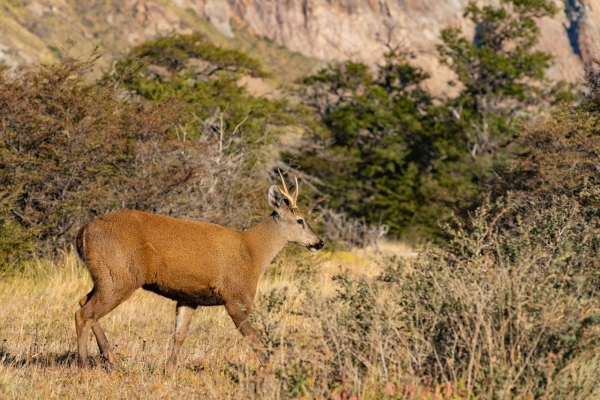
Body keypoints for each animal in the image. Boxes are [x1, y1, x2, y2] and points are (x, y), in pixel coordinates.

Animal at [75, 172, 324, 372]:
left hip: (105, 276)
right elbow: (253, 337)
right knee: (84, 313)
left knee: (83, 302)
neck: (253, 253)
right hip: (120, 276)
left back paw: (108, 357)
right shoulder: (236, 295)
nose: (319, 242)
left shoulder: (189, 297)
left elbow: (179, 335)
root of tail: (83, 231)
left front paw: (169, 370)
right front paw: (273, 371)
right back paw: (83, 365)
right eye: (300, 220)